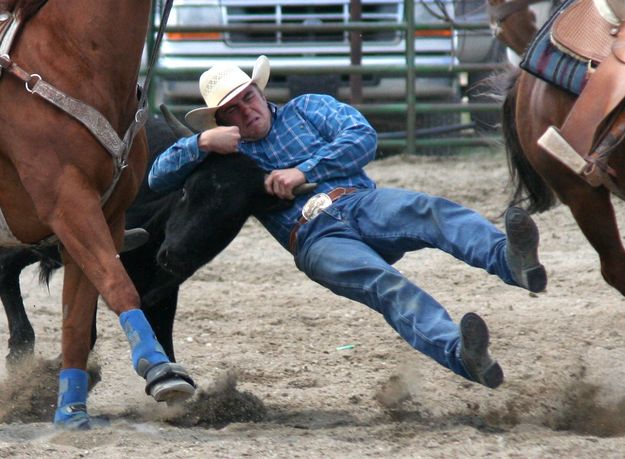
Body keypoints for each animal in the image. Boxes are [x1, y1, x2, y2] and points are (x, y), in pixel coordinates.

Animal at [0, 0, 195, 430]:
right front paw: (159, 369)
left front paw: (71, 412)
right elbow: (117, 281)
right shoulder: (69, 202)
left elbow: (76, 320)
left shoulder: (106, 216)